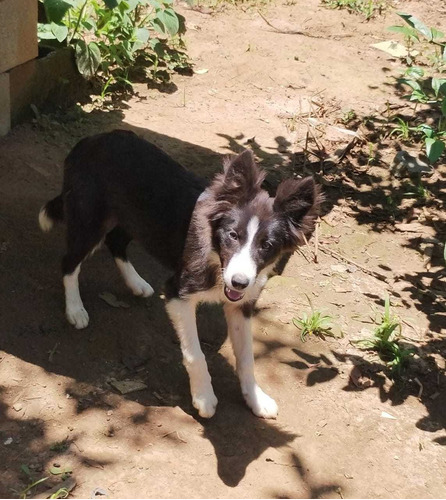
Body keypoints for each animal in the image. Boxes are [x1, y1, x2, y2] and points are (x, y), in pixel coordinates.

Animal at [39, 129, 320, 418]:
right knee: (69, 262)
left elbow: (247, 357)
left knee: (115, 243)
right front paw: (204, 397)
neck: (215, 253)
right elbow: (196, 354)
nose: (239, 282)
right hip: (89, 220)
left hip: (135, 219)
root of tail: (90, 140)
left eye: (267, 245)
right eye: (233, 235)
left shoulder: (241, 305)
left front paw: (255, 398)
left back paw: (136, 283)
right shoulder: (178, 293)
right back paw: (75, 309)